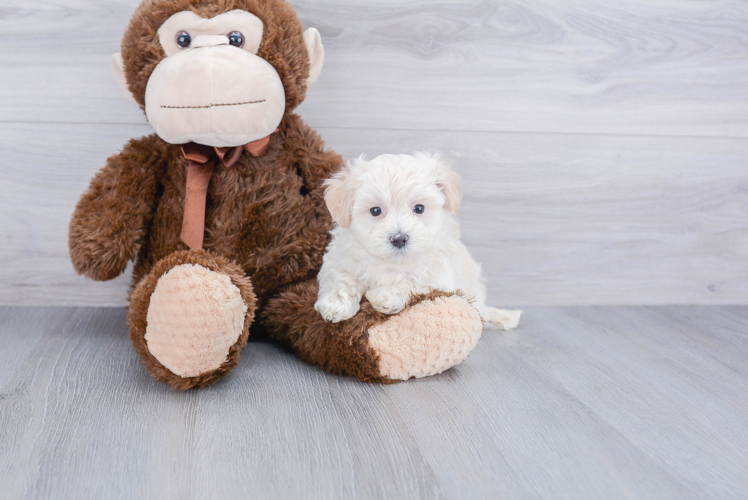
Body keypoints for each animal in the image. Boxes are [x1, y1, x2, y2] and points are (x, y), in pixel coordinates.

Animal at [314, 153, 520, 332]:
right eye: (375, 211)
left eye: (419, 208)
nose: (399, 238)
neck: (394, 263)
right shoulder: (340, 260)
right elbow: (342, 279)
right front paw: (335, 304)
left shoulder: (438, 278)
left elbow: (412, 283)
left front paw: (385, 296)